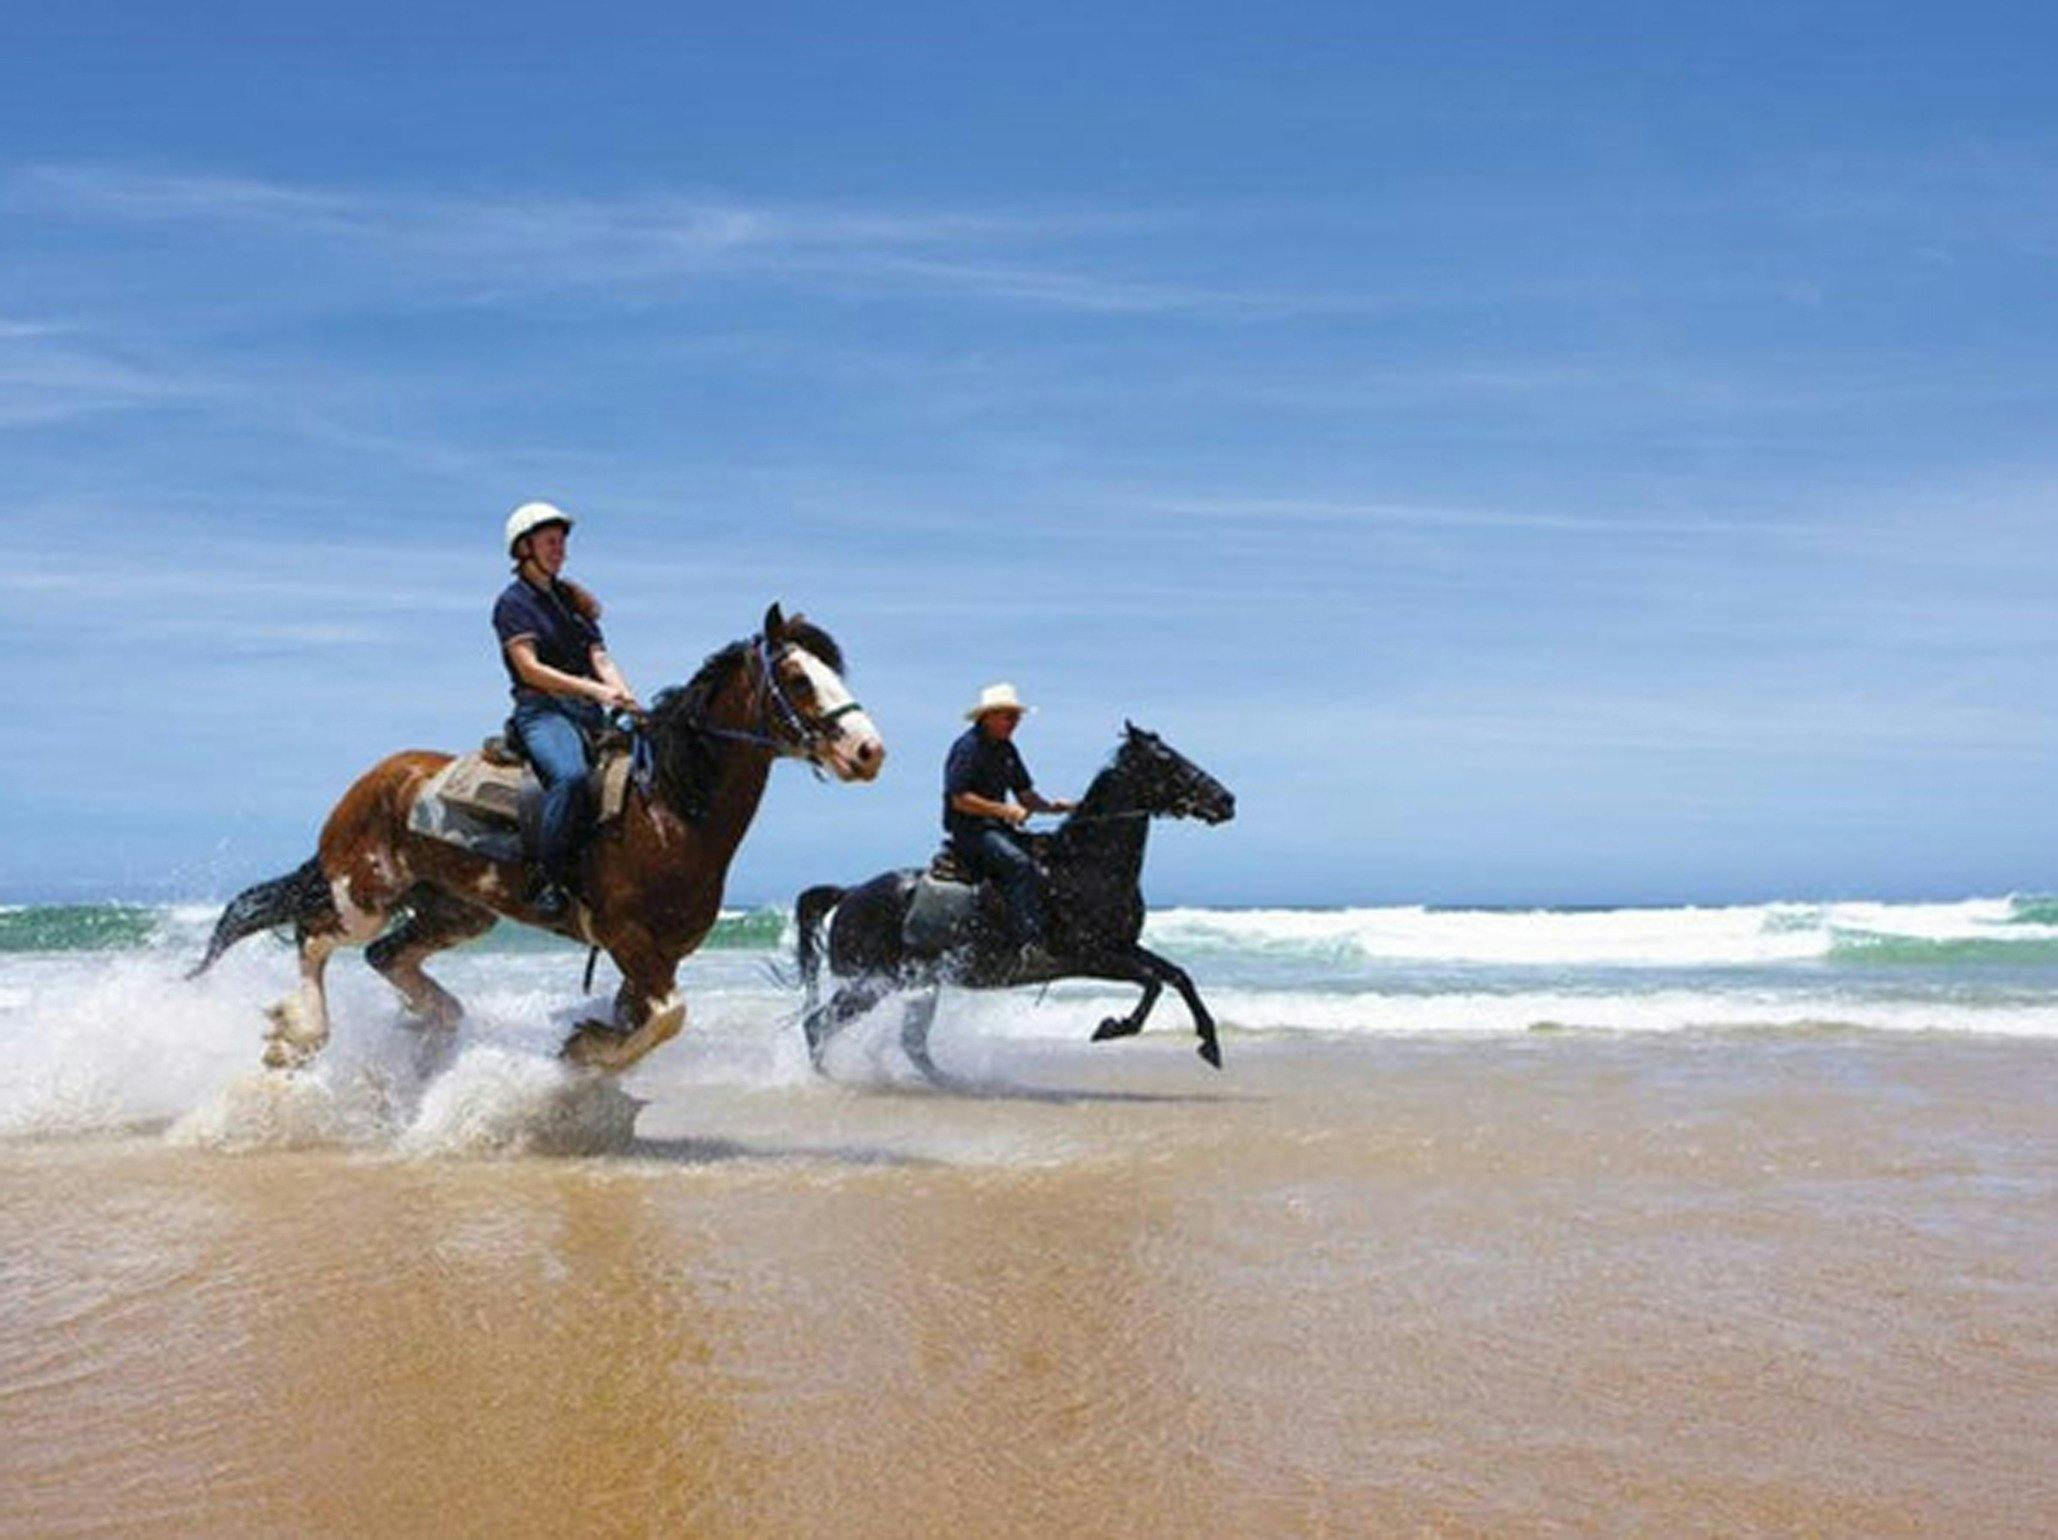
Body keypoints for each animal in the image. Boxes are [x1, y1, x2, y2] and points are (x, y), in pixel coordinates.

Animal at [190, 605, 883, 1074]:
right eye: (797, 678)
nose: (869, 750)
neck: (666, 809)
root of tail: (375, 780)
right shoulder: (628, 938)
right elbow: (669, 1017)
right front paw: (588, 1051)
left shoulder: (661, 953)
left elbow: (651, 1018)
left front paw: (589, 1049)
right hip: (364, 895)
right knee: (316, 939)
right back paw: (299, 1035)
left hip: (458, 911)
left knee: (386, 957)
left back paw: (436, 1027)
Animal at [793, 723, 1234, 1077]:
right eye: (1168, 762)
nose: (1226, 800)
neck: (1083, 866)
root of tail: (850, 894)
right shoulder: (1089, 955)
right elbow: (1152, 981)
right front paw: (1113, 1027)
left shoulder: (1121, 946)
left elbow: (1177, 975)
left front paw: (1209, 1045)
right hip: (871, 983)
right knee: (818, 1024)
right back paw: (827, 1078)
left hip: (916, 984)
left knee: (909, 1042)